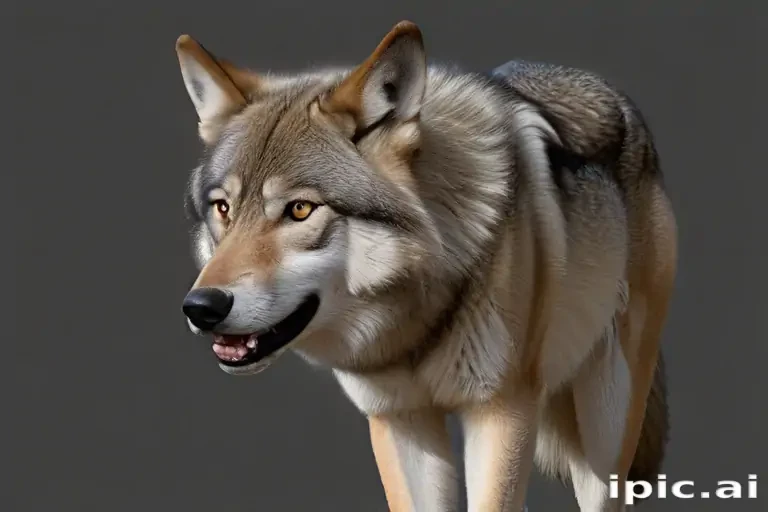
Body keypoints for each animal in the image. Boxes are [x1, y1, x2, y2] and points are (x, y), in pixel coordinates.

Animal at [176, 20, 677, 512]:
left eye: (299, 210)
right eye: (223, 209)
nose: (202, 306)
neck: (417, 326)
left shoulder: (503, 413)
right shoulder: (399, 419)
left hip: (605, 425)